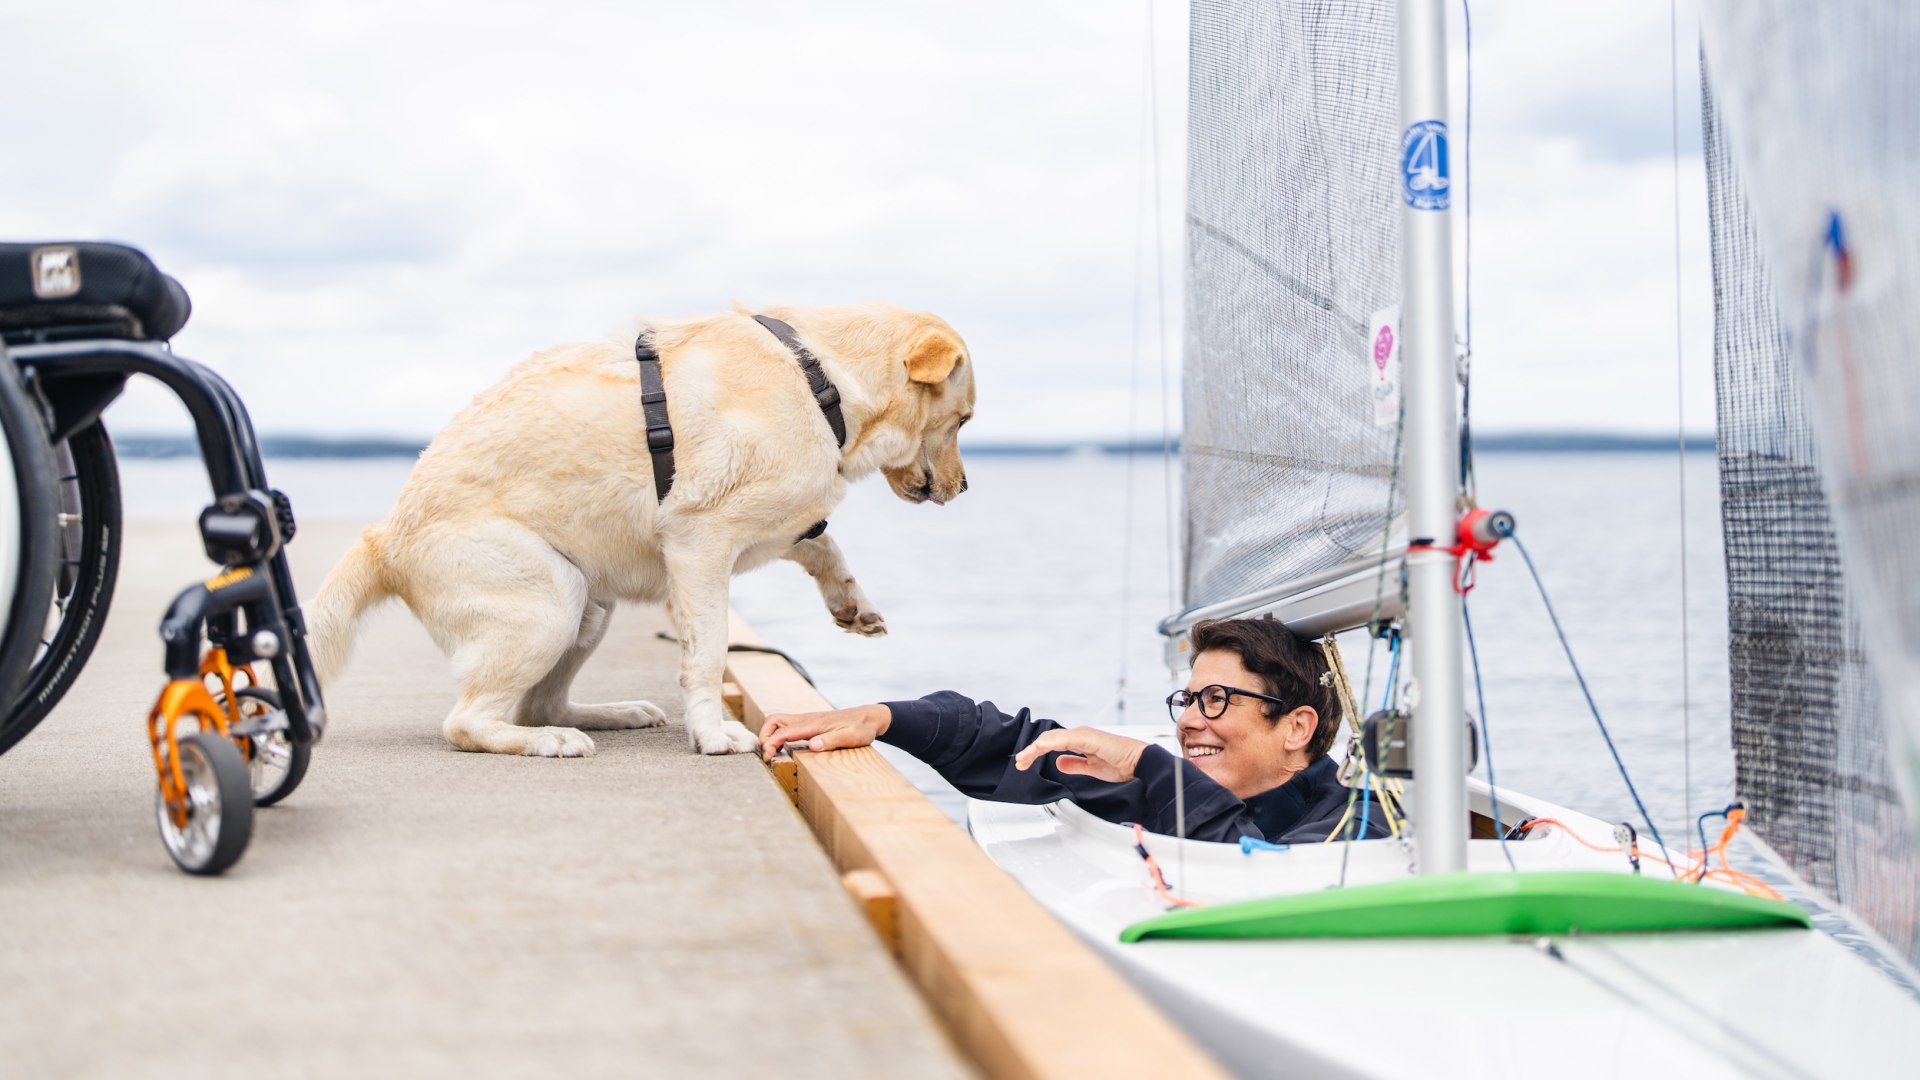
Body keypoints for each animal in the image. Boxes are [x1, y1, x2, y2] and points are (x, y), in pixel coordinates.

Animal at [311, 303, 975, 753]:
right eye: (964, 419)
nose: (965, 487)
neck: (821, 380)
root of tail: (384, 537)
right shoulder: (701, 540)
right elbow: (707, 652)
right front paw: (712, 733)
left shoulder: (775, 522)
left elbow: (822, 541)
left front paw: (852, 604)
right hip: (550, 600)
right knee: (470, 722)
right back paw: (550, 742)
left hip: (588, 610)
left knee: (540, 704)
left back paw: (608, 714)